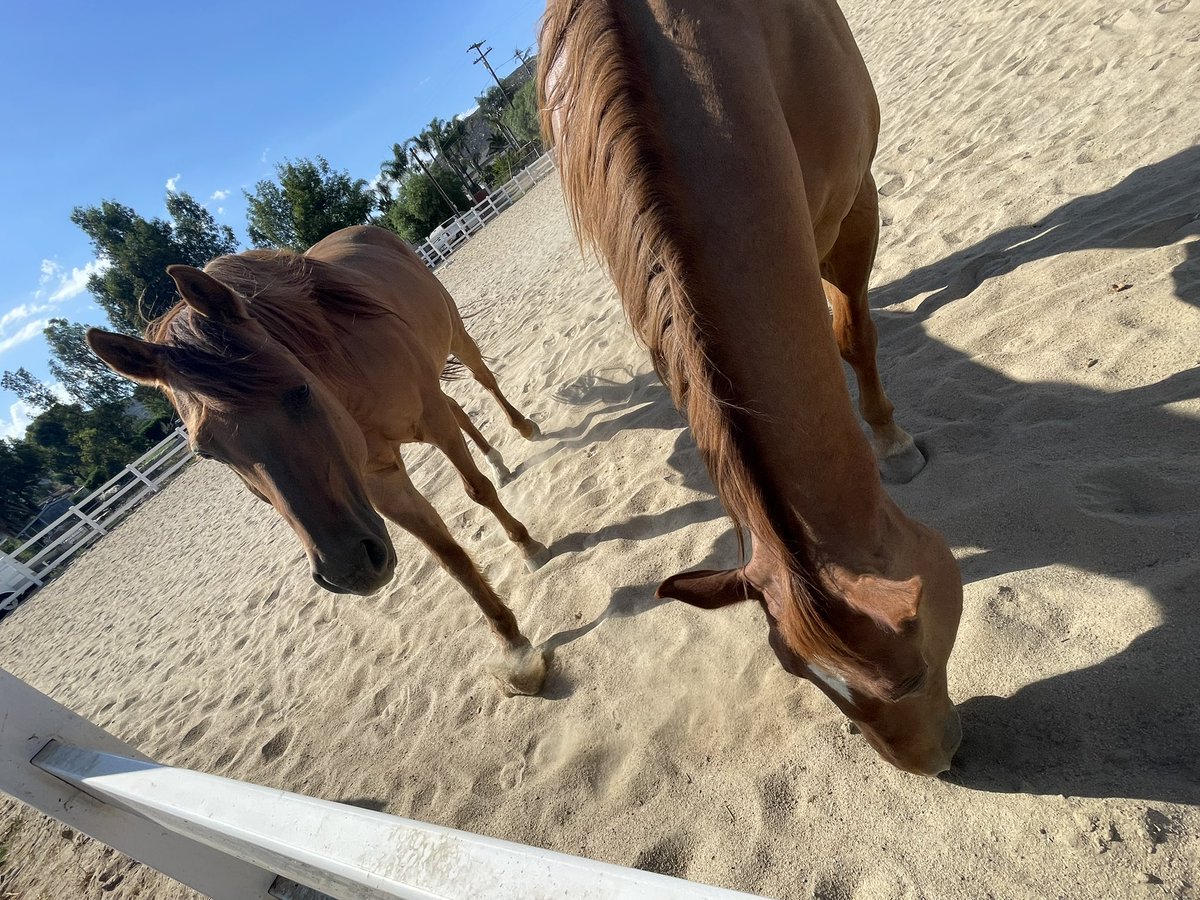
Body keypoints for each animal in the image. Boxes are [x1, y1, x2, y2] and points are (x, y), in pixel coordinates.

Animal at [87, 225, 549, 696]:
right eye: (206, 452)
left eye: (300, 390)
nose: (347, 570)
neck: (343, 379)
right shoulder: (378, 482)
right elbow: (448, 555)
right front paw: (513, 647)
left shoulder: (431, 418)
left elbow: (477, 491)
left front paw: (527, 546)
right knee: (460, 406)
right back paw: (497, 461)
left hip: (454, 334)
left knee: (482, 380)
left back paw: (521, 431)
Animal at [544, 0, 964, 777]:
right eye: (800, 677)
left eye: (915, 675)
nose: (934, 765)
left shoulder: (854, 206)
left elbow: (852, 334)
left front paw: (891, 442)